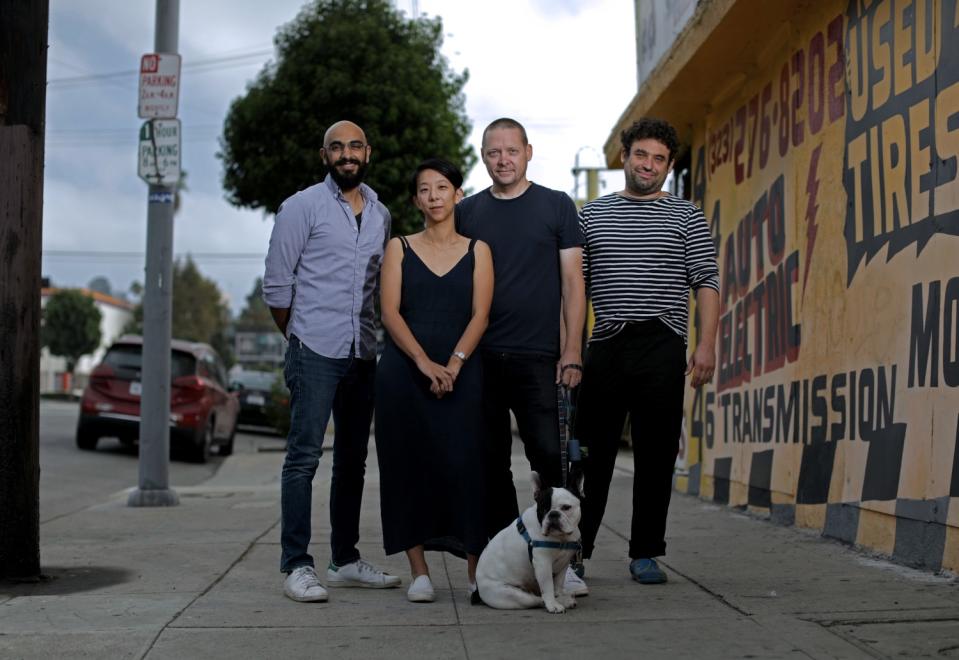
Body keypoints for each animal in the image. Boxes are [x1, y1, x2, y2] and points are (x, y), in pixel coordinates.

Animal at [474, 470, 580, 612]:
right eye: (543, 509)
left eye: (566, 507)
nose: (553, 514)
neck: (561, 538)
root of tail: (478, 587)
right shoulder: (543, 564)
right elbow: (548, 587)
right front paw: (553, 604)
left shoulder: (563, 564)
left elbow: (558, 584)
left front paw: (560, 596)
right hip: (512, 595)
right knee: (537, 599)